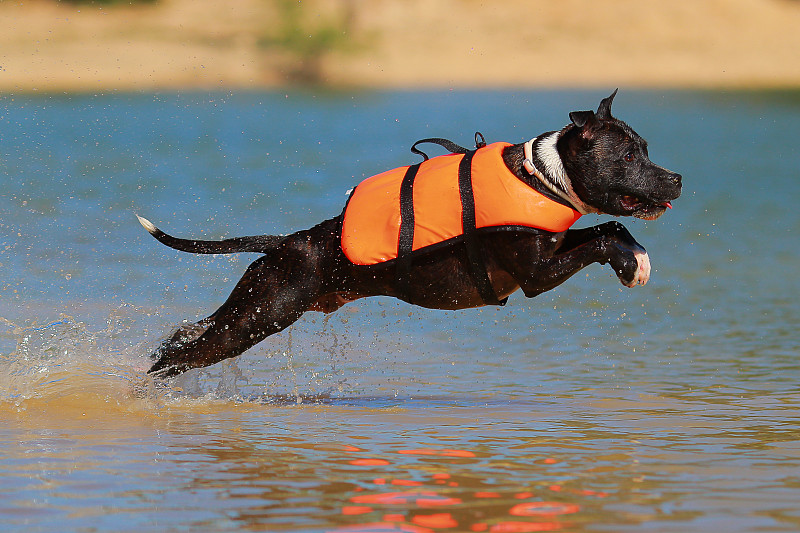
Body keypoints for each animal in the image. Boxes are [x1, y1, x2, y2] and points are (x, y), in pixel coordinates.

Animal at [138, 89, 680, 376]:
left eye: (646, 148)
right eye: (628, 154)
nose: (677, 178)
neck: (542, 175)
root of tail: (286, 243)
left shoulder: (554, 246)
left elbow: (609, 224)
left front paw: (635, 259)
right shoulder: (537, 275)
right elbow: (601, 235)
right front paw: (629, 259)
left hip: (251, 309)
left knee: (186, 334)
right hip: (259, 316)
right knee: (185, 354)